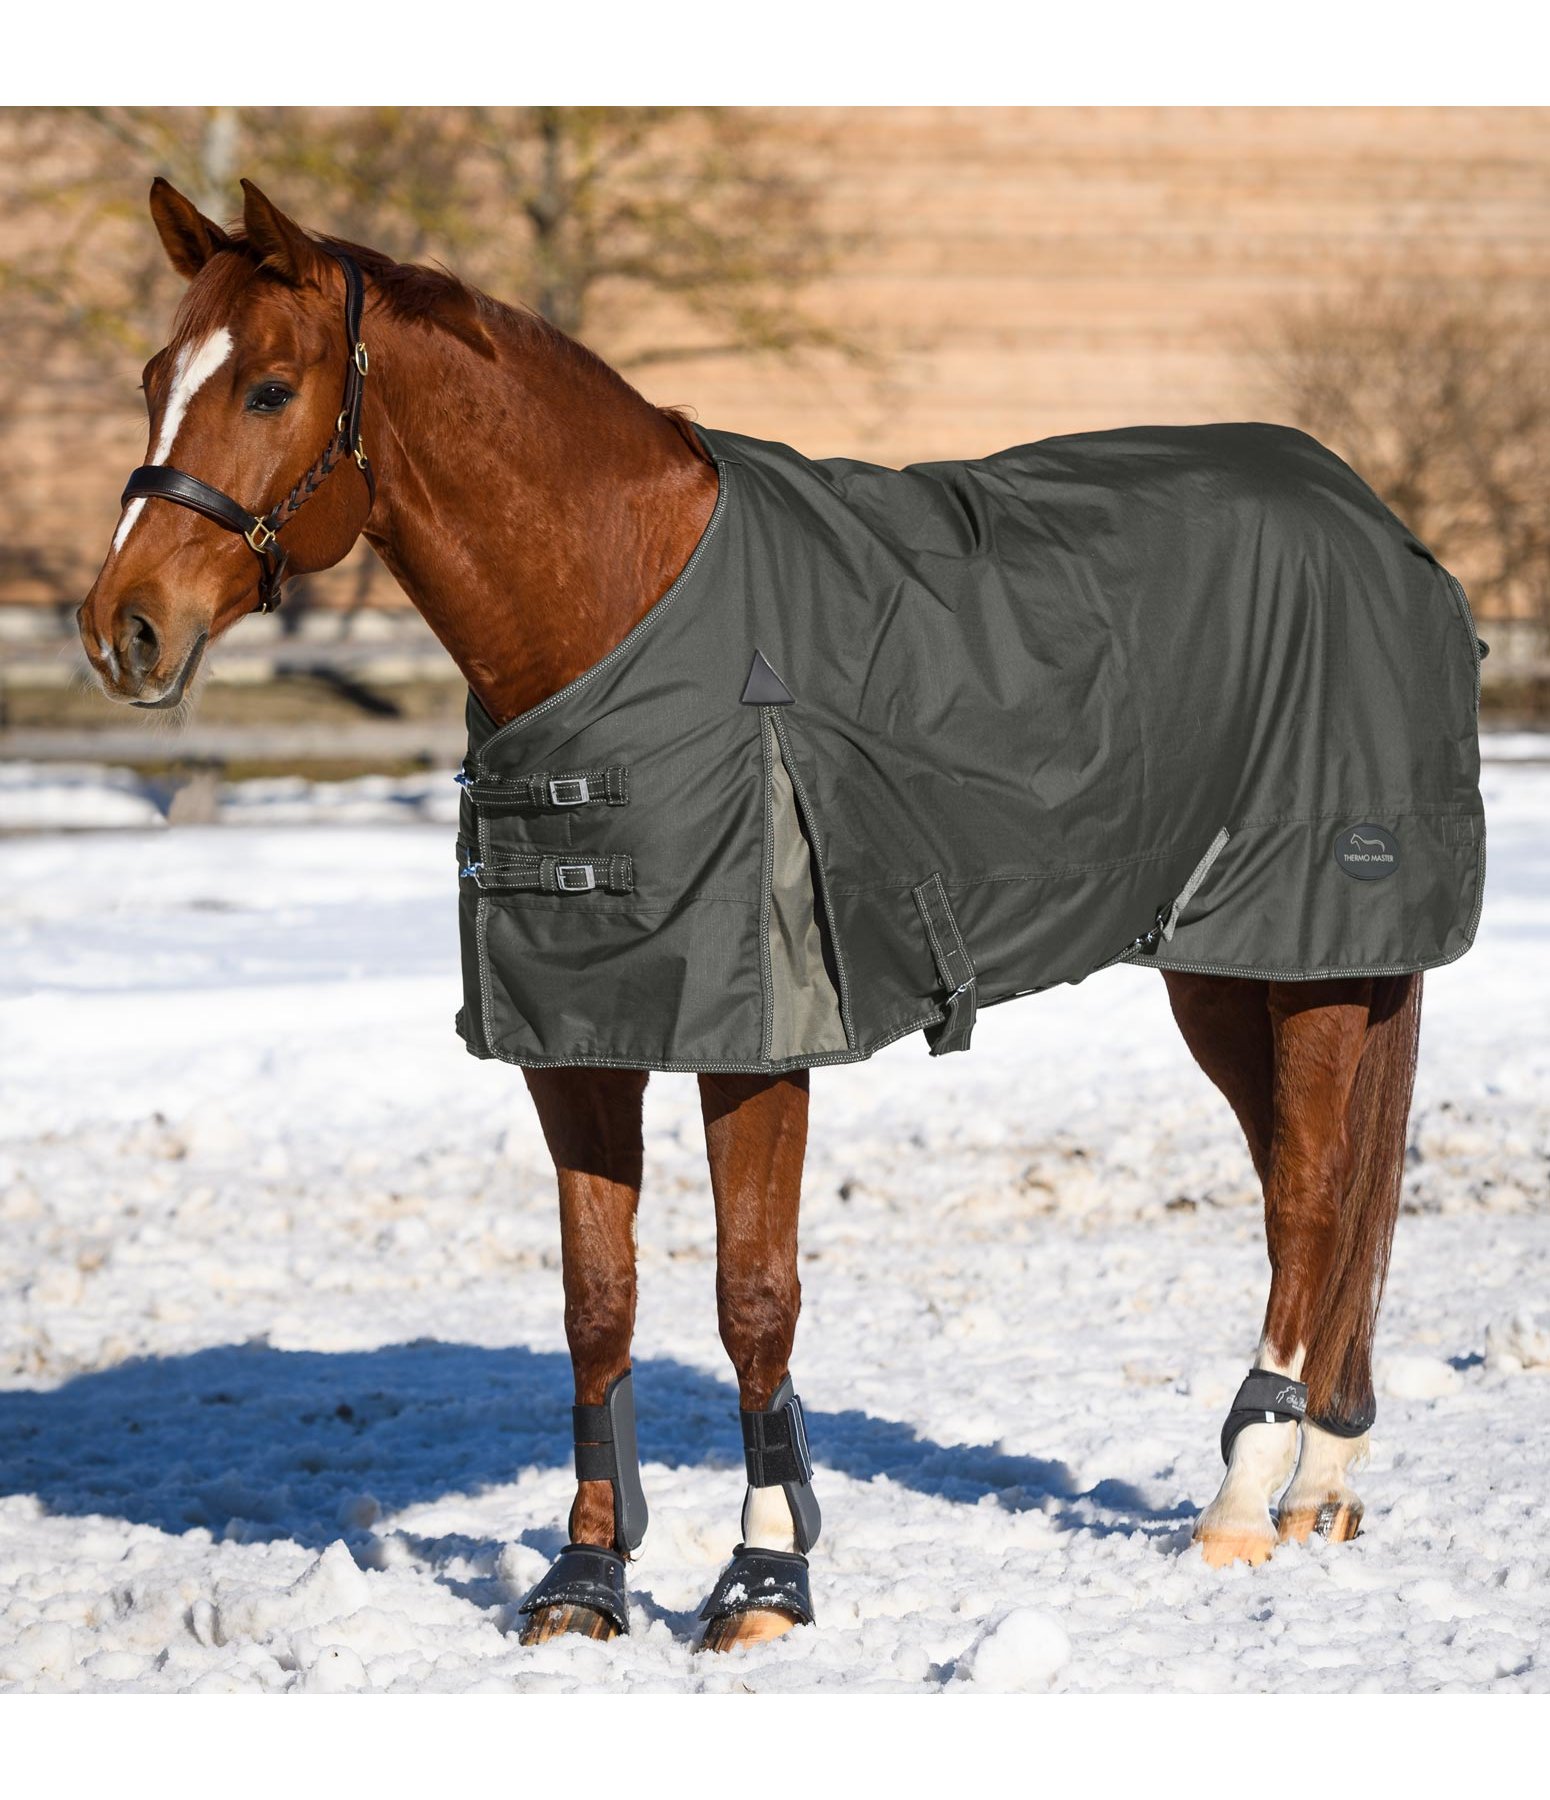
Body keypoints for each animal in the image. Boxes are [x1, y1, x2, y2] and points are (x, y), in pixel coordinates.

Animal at [78, 178, 1436, 1651]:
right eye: (152, 378)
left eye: (270, 388)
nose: (121, 629)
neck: (619, 617)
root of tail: (1367, 513)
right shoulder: (578, 1039)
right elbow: (597, 1304)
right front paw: (585, 1578)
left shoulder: (757, 1041)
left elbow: (753, 1299)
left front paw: (764, 1577)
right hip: (1230, 971)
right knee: (1309, 1188)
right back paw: (1322, 1479)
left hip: (1300, 956)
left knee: (1307, 1198)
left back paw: (1241, 1505)